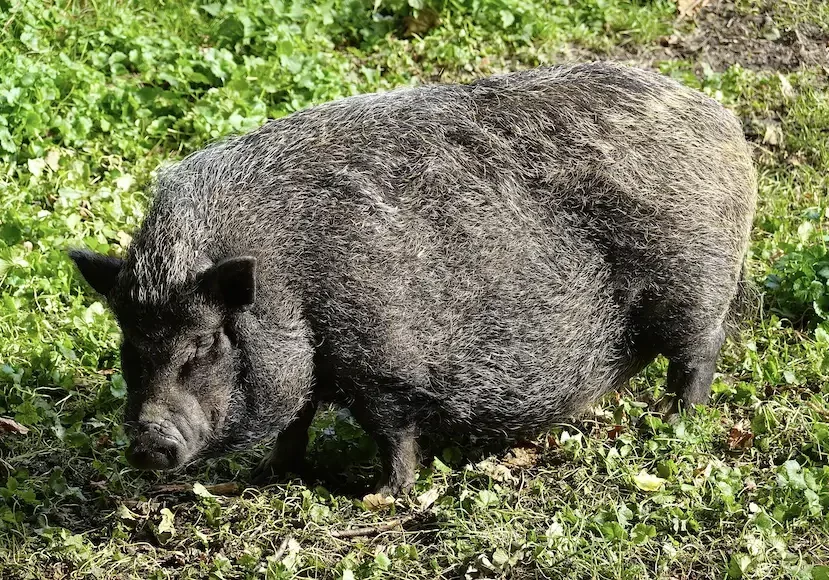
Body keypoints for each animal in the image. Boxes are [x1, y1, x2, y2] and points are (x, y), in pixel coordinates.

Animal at [70, 62, 757, 496]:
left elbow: (392, 432)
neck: (289, 284)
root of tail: (722, 123)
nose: (147, 442)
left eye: (205, 343)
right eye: (128, 345)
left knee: (700, 355)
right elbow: (295, 420)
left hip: (694, 287)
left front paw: (379, 497)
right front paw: (264, 477)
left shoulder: (384, 361)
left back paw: (674, 424)